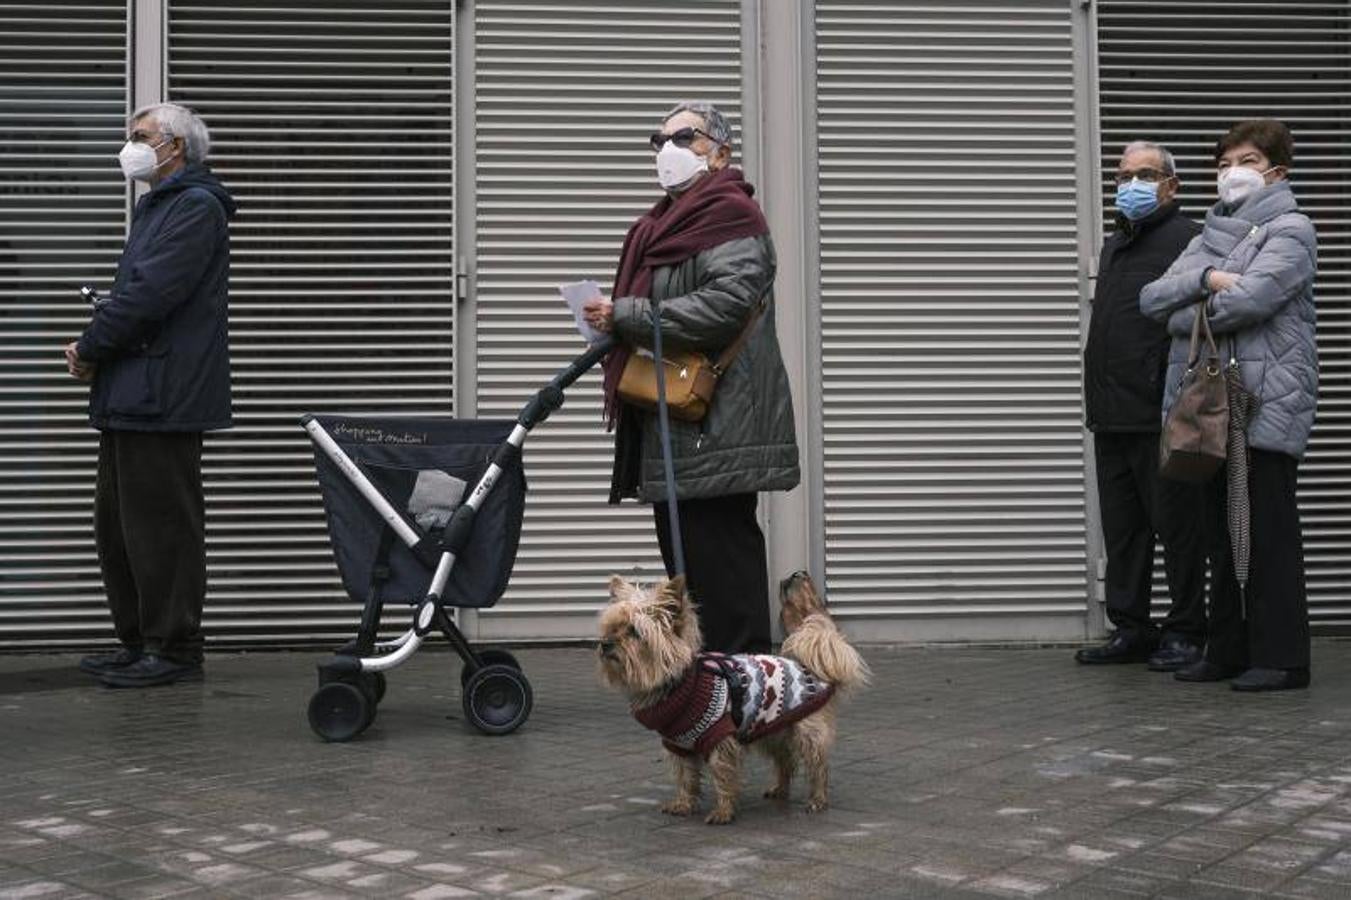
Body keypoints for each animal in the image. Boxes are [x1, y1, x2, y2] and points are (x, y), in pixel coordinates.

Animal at [597, 567, 870, 821]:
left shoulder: (720, 738)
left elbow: (723, 775)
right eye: (611, 628)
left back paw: (817, 799)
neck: (679, 683)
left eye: (634, 632)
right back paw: (780, 789)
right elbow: (685, 776)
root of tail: (807, 665)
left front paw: (723, 811)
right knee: (785, 761)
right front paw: (684, 803)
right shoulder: (677, 744)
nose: (605, 643)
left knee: (817, 767)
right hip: (772, 730)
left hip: (806, 731)